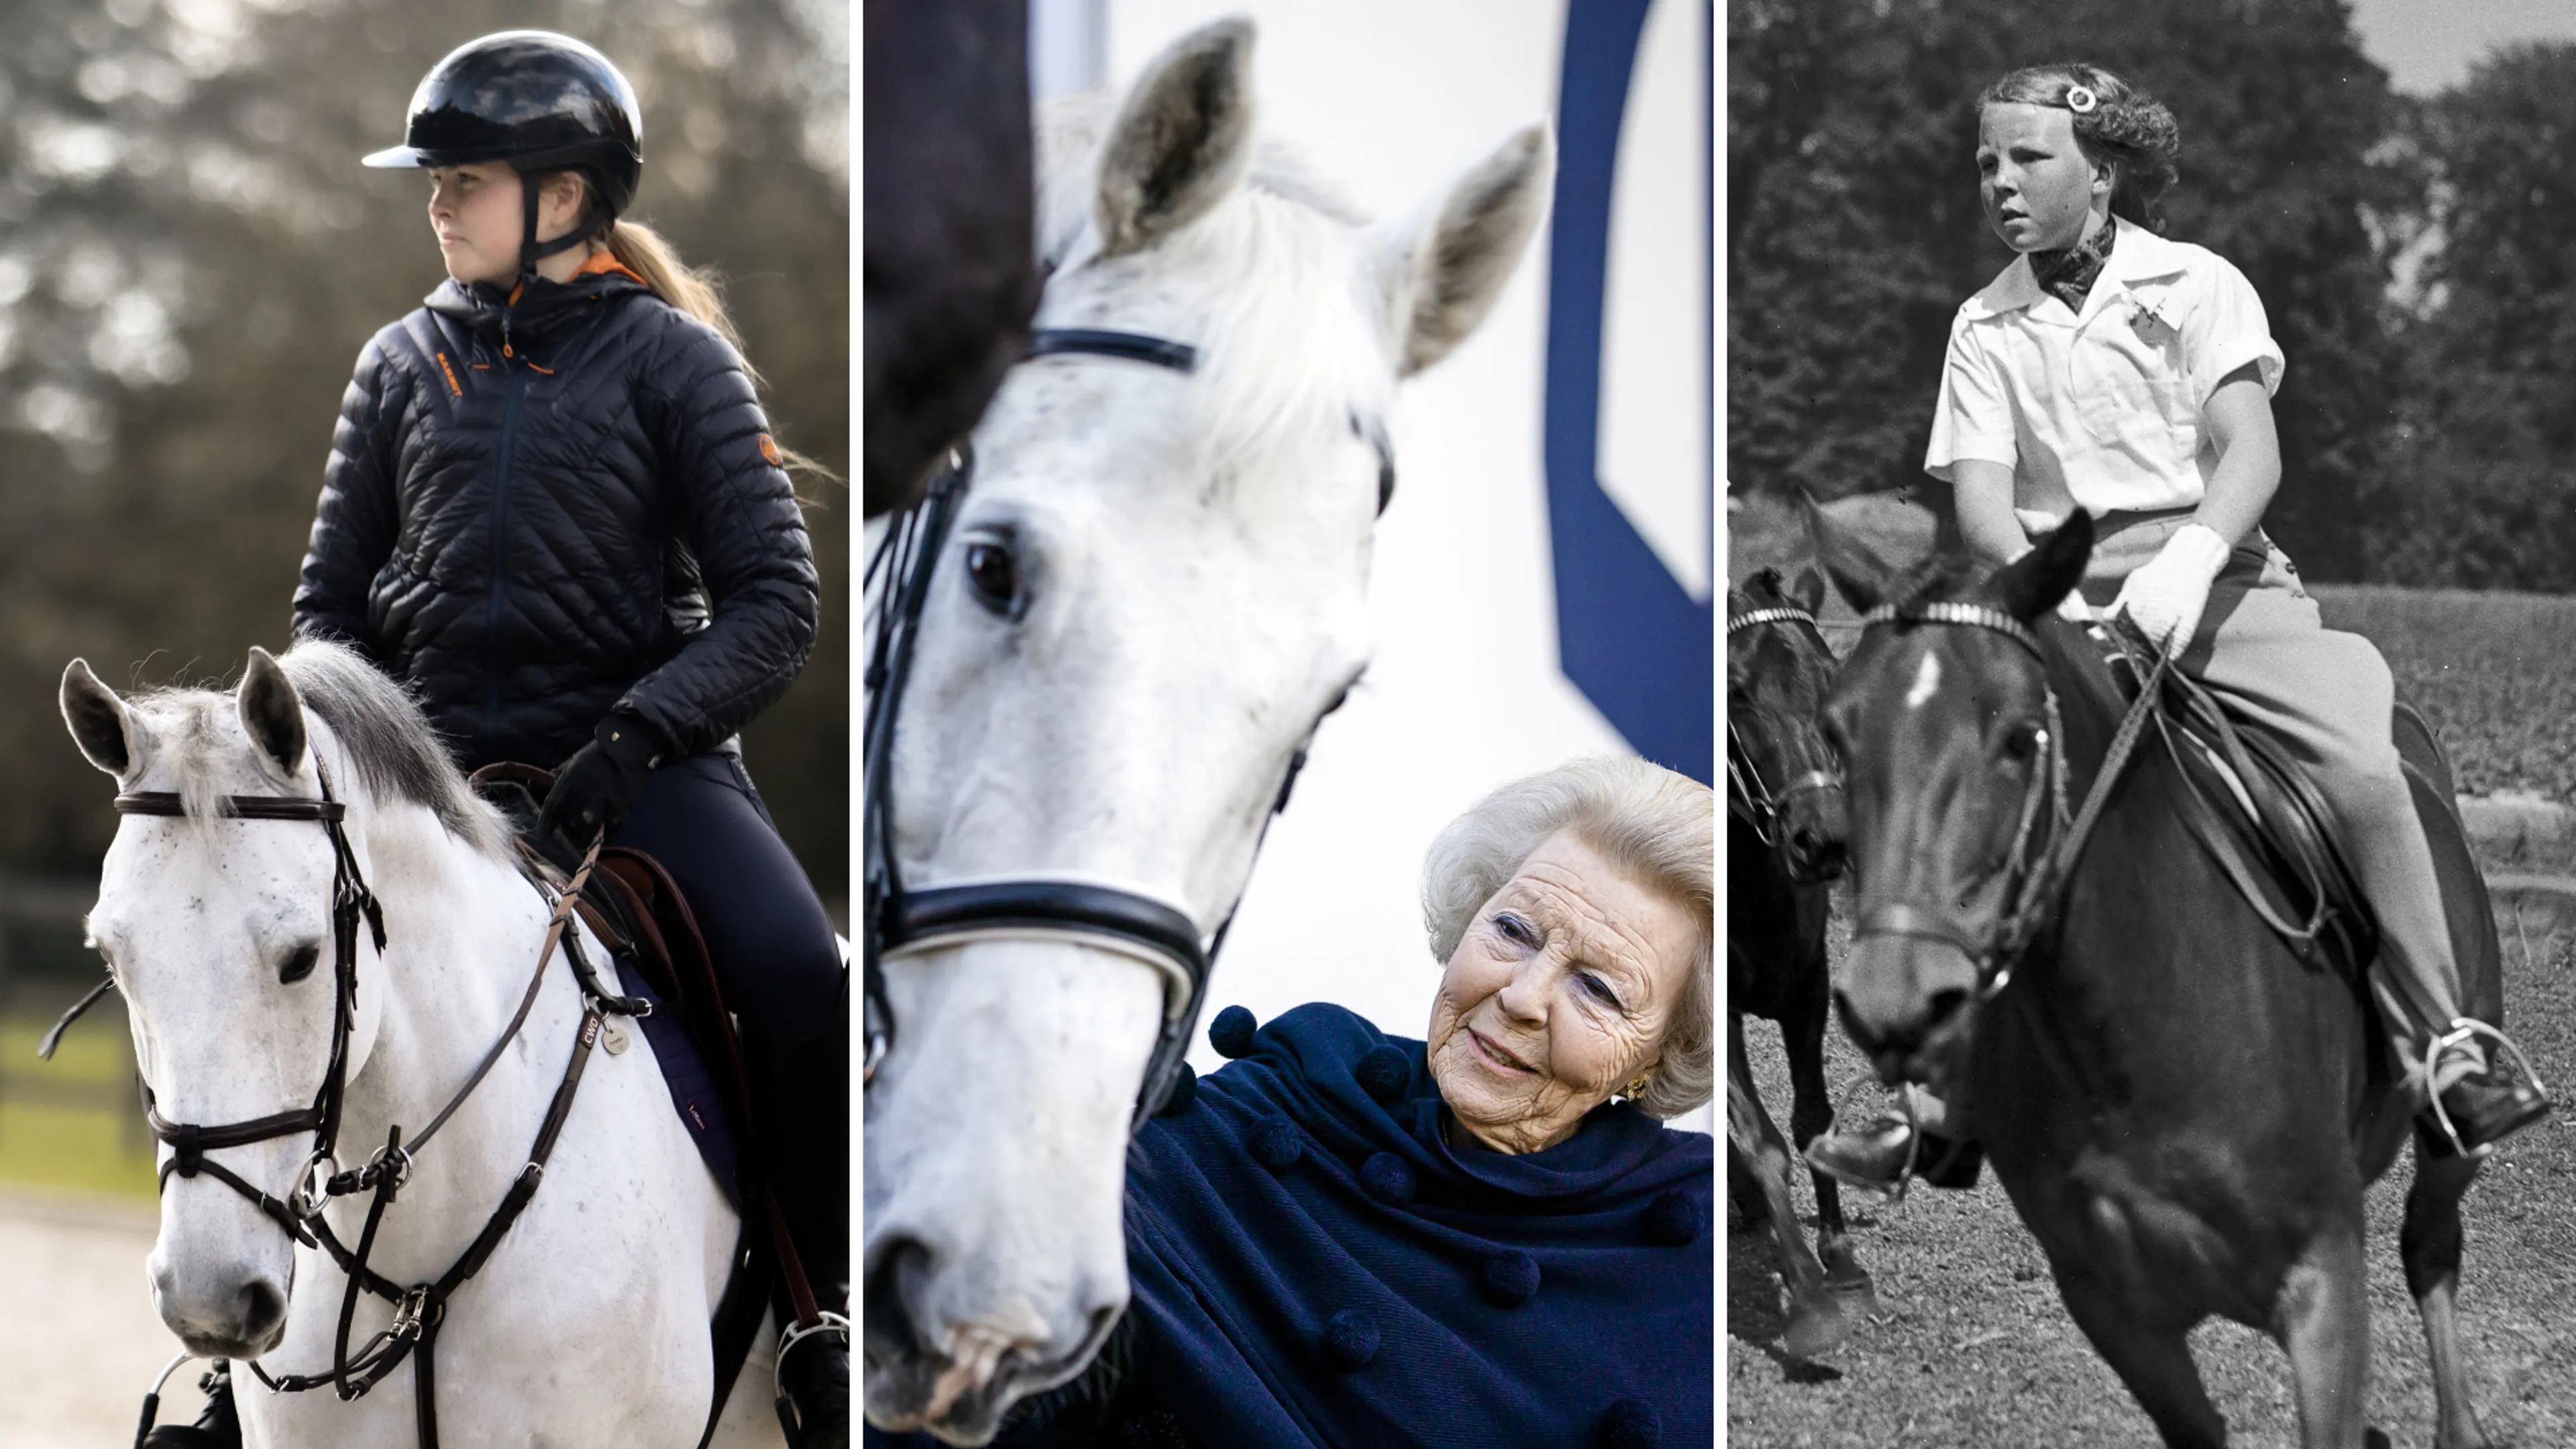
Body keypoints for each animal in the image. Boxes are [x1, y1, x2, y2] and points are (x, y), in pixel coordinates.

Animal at [1808, 507, 2501, 1449]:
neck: (2125, 1047)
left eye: (2021, 736)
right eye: (1838, 733)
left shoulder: (2324, 1284)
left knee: (2431, 1246)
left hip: (2448, 1141)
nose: (1893, 1000)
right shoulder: (2116, 1310)